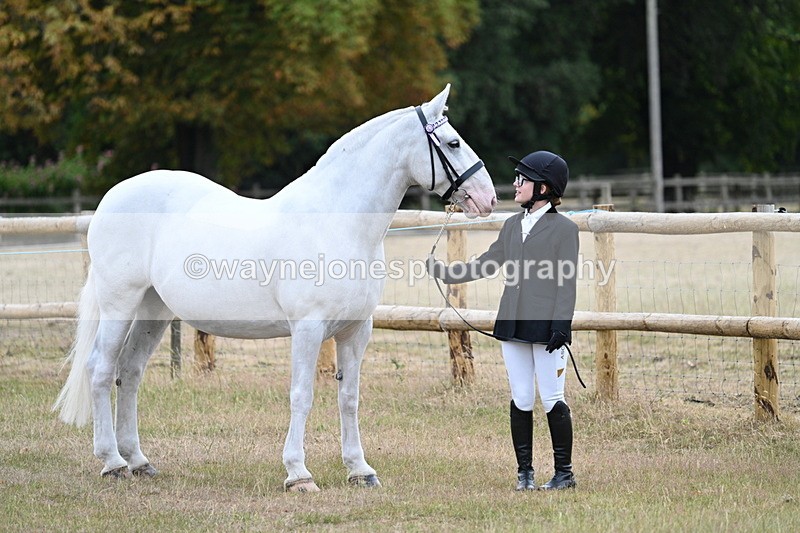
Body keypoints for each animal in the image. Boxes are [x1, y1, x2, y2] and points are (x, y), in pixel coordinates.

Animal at [52, 84, 497, 492]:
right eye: (453, 143)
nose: (488, 198)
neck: (336, 222)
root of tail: (112, 197)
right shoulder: (308, 328)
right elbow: (301, 395)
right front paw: (298, 474)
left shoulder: (357, 330)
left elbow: (349, 398)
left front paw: (360, 469)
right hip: (120, 303)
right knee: (100, 369)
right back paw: (112, 462)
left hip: (153, 311)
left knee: (129, 372)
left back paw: (139, 461)